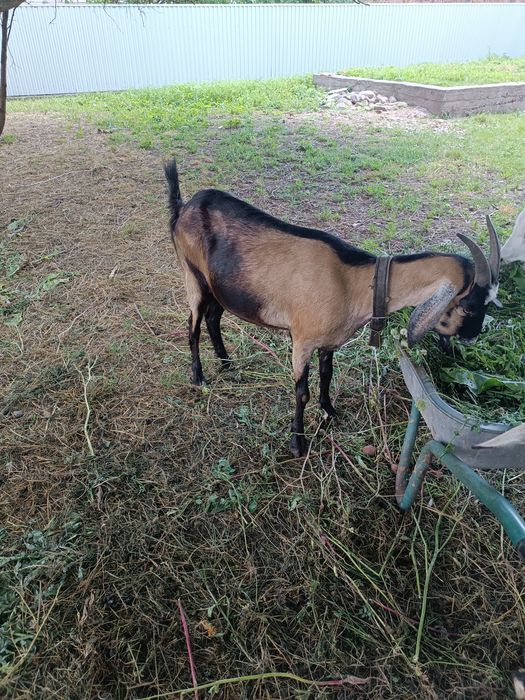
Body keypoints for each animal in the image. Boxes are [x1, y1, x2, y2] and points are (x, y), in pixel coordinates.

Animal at [165, 159, 501, 457]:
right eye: (470, 306)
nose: (471, 338)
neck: (354, 282)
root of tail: (184, 207)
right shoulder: (302, 340)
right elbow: (302, 391)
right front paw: (298, 443)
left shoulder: (329, 342)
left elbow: (327, 375)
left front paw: (330, 410)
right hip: (192, 276)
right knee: (193, 325)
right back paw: (199, 377)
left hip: (219, 288)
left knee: (213, 318)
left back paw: (227, 364)